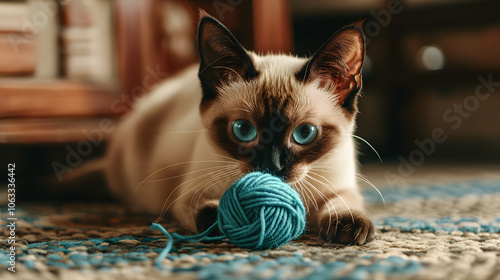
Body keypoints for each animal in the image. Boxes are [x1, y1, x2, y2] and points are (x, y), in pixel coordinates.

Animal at [103, 13, 374, 245]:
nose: (271, 167)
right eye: (244, 130)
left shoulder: (340, 185)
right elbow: (210, 209)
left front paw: (349, 228)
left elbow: (341, 203)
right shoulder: (190, 194)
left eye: (304, 133)